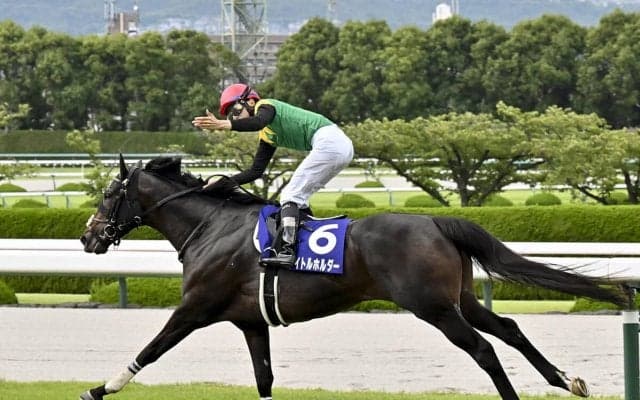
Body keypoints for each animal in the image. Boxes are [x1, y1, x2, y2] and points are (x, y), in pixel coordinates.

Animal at [79, 155, 628, 400]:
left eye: (108, 194)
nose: (88, 237)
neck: (211, 226)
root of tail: (435, 221)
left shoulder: (195, 307)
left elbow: (151, 349)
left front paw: (100, 388)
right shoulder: (250, 322)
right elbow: (264, 377)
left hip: (432, 306)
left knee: (483, 349)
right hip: (460, 297)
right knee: (509, 330)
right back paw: (565, 380)